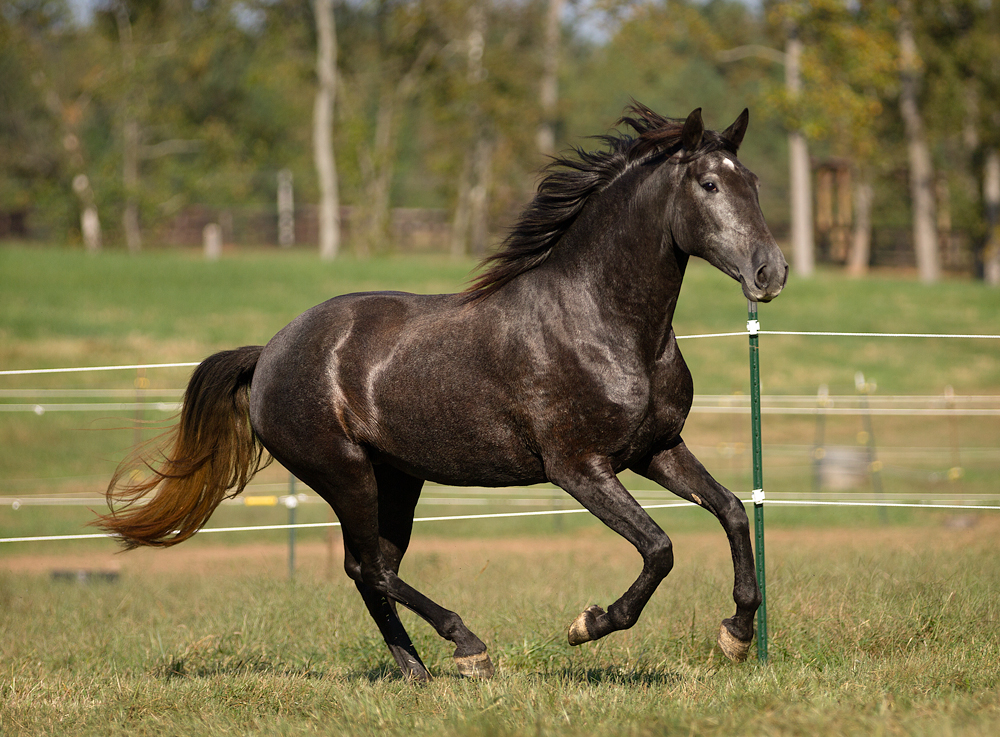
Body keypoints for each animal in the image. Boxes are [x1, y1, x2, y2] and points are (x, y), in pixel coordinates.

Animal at [99, 103, 788, 680]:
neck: (603, 323)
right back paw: (468, 647)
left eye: (753, 182)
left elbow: (731, 510)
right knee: (367, 567)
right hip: (346, 473)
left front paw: (736, 635)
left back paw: (419, 671)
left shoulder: (655, 449)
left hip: (398, 478)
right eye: (709, 185)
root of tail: (268, 352)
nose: (770, 272)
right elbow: (660, 548)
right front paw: (588, 625)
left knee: (374, 571)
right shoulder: (578, 468)